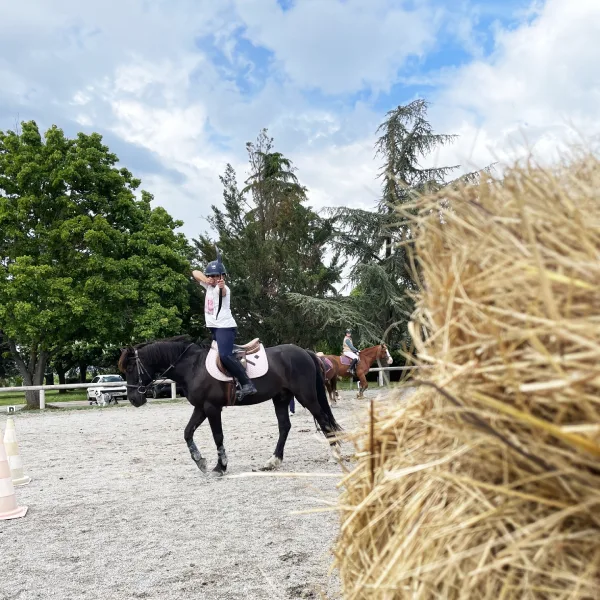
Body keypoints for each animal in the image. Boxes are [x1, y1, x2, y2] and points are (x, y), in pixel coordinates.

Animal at [118, 336, 342, 476]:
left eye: (130, 368)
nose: (133, 399)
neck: (193, 367)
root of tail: (305, 352)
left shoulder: (211, 408)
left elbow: (218, 436)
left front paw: (220, 466)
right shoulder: (200, 408)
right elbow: (187, 432)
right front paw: (200, 461)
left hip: (306, 397)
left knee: (323, 420)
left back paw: (336, 455)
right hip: (281, 398)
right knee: (284, 427)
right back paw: (273, 461)